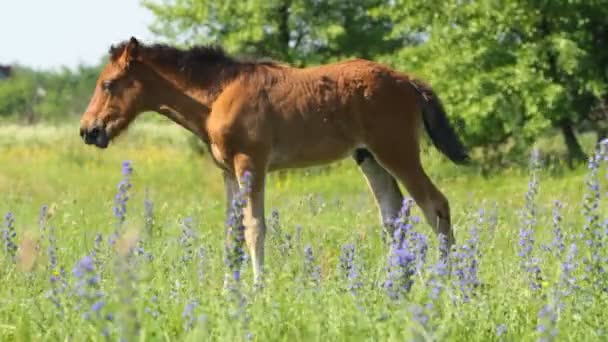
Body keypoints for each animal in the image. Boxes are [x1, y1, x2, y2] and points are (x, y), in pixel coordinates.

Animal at [79, 36, 470, 284]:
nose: (88, 130)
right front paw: (229, 290)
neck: (219, 94)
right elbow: (231, 231)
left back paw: (447, 280)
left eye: (109, 84)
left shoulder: (250, 163)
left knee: (435, 205)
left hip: (397, 152)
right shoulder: (227, 171)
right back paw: (396, 282)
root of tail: (409, 81)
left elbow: (254, 228)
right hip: (369, 157)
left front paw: (258, 289)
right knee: (392, 216)